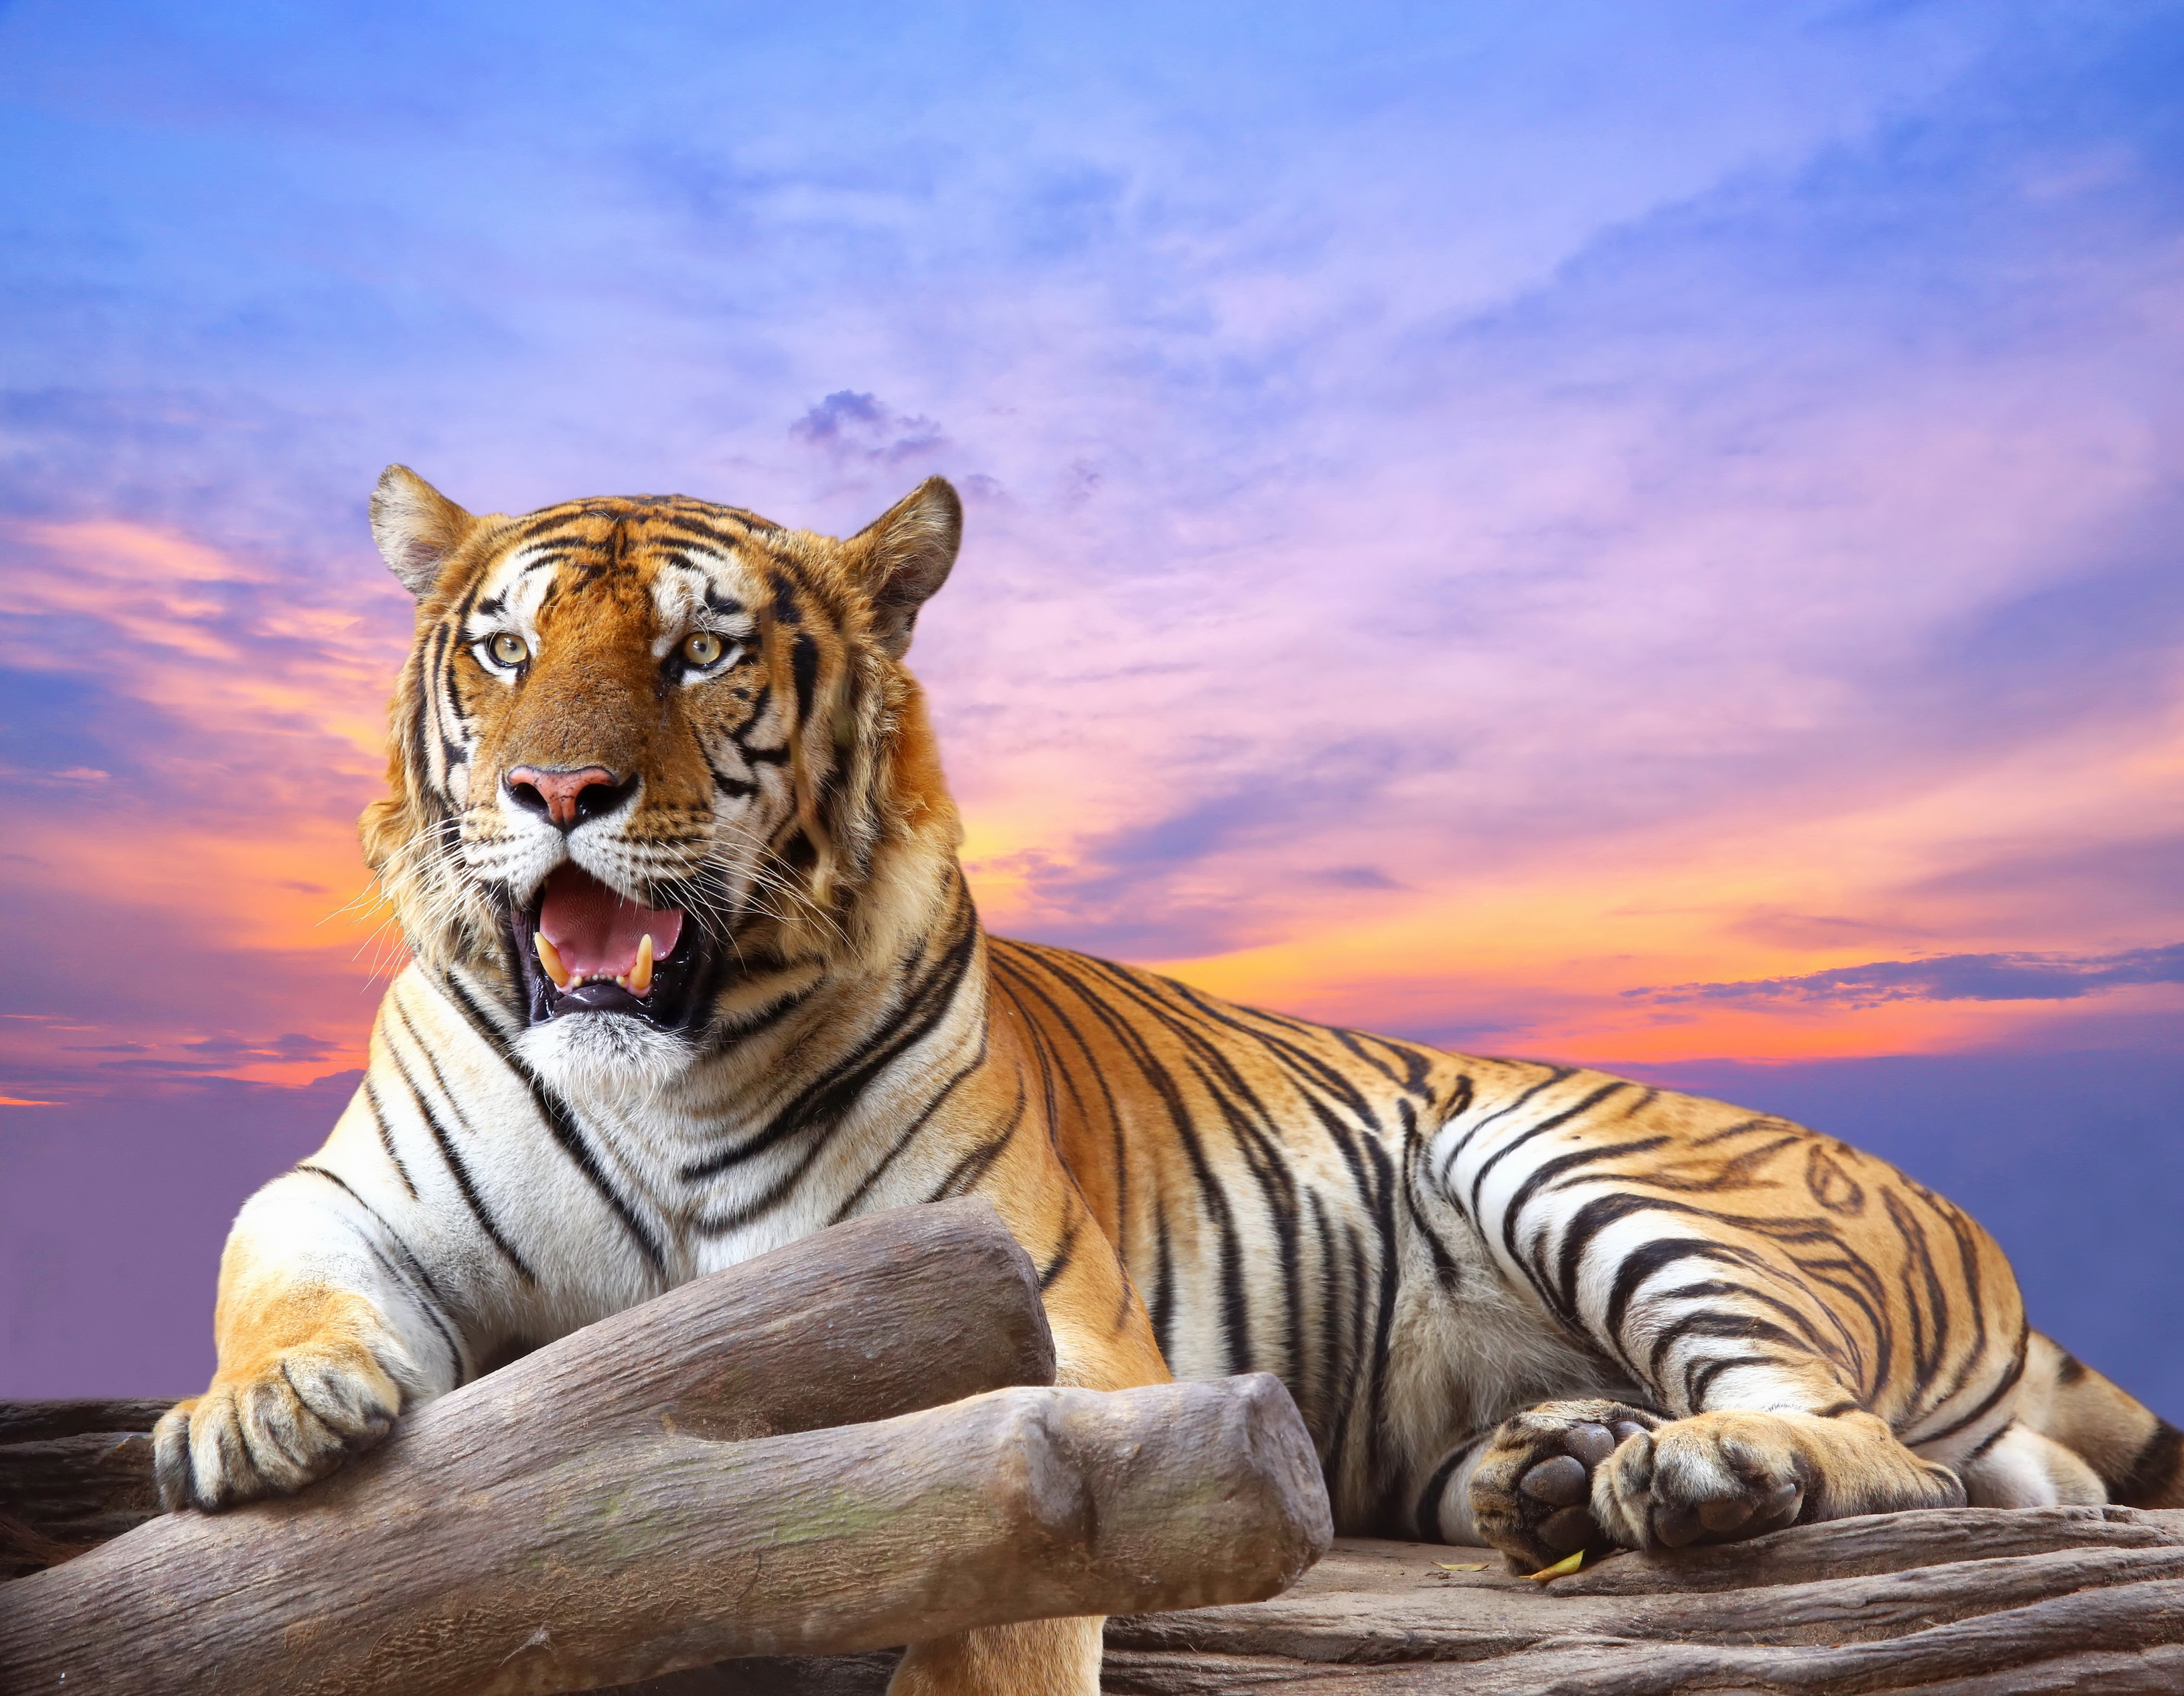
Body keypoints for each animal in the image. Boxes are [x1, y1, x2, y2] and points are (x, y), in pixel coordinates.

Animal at [156, 467, 2184, 1695]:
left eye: (700, 648)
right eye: (504, 650)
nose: (555, 791)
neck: (654, 1071)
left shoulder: (1042, 1343)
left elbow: (995, 1570)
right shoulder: (355, 1188)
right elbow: (276, 1263)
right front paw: (259, 1418)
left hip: (1567, 1150)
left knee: (1893, 1454)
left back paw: (1693, 1469)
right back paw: (1552, 1473)